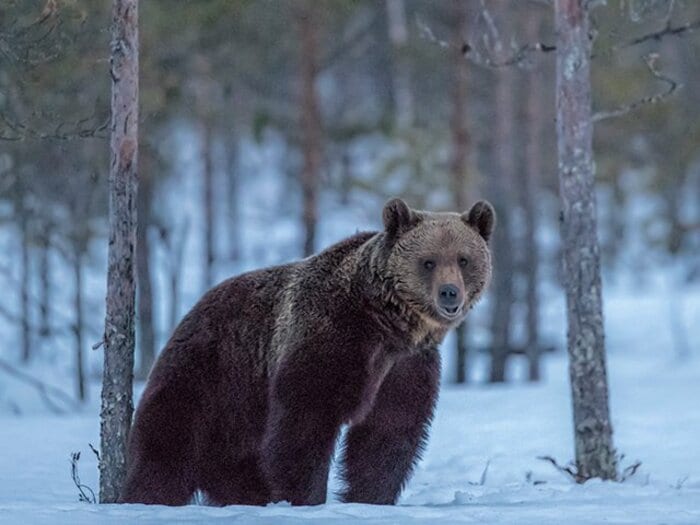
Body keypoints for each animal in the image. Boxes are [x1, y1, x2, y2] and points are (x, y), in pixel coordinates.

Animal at [121, 196, 492, 504]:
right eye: (428, 261)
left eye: (463, 259)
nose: (449, 293)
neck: (387, 324)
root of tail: (191, 311)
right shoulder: (327, 339)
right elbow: (303, 422)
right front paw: (305, 497)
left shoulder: (406, 366)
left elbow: (387, 433)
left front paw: (369, 498)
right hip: (211, 377)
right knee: (167, 443)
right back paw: (146, 496)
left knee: (234, 470)